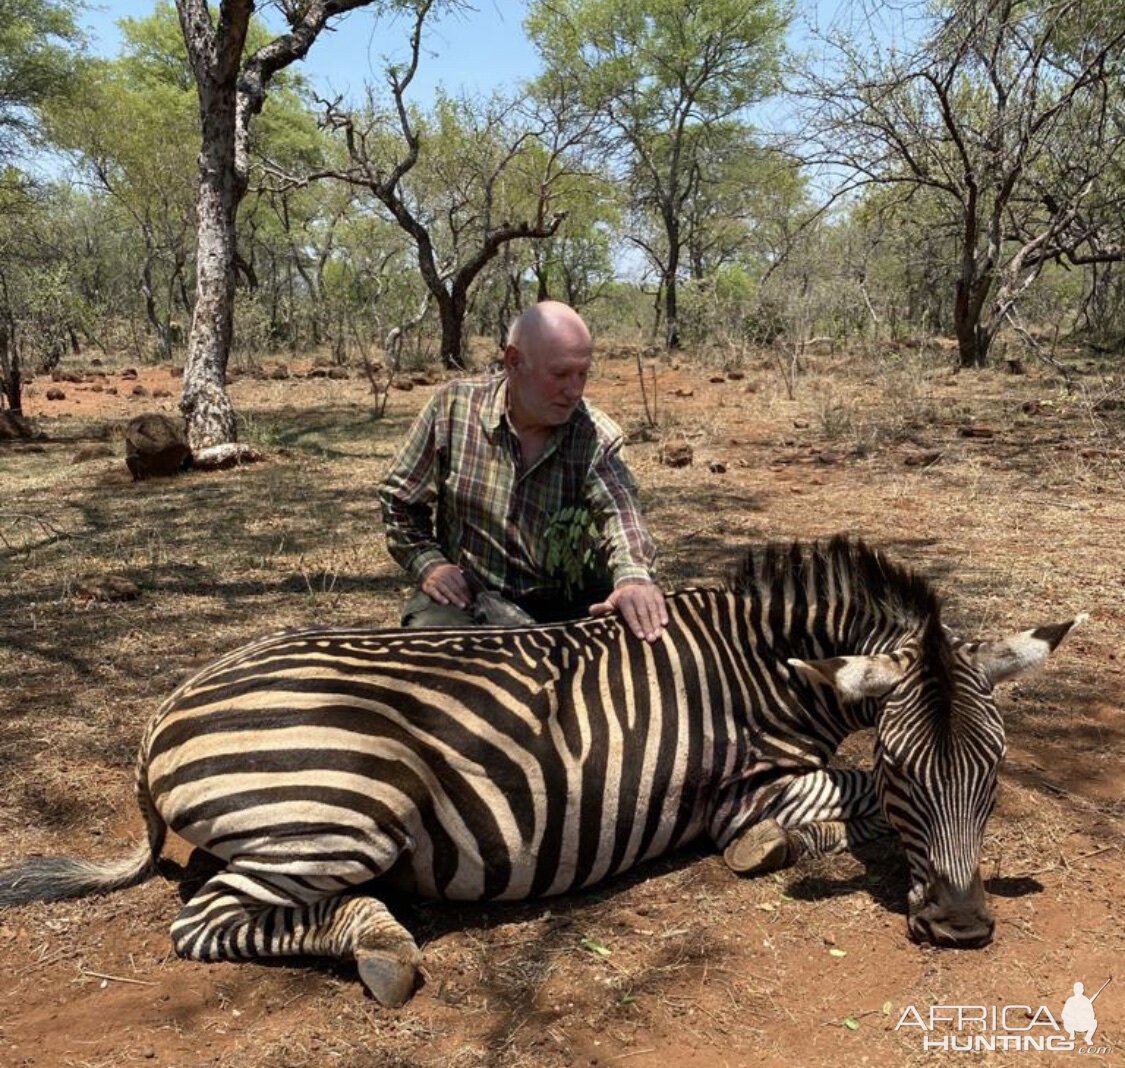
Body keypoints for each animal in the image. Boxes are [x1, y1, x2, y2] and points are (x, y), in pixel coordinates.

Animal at [0, 537, 1084, 1003]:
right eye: (902, 768)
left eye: (995, 773)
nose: (962, 927)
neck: (763, 662)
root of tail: (166, 709)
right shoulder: (741, 780)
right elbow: (825, 800)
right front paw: (788, 841)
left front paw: (787, 842)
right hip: (339, 805)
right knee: (208, 923)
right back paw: (380, 945)